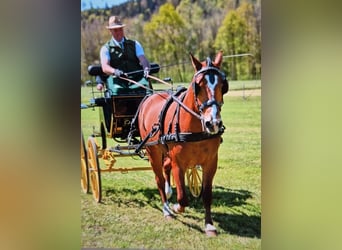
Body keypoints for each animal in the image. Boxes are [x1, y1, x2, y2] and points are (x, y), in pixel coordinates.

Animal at [136, 51, 227, 236]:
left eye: (223, 85)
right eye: (198, 85)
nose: (213, 123)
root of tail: (151, 96)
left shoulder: (211, 163)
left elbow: (207, 195)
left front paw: (209, 225)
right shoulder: (179, 163)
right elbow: (183, 198)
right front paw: (176, 207)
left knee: (165, 168)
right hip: (152, 151)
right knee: (159, 178)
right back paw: (166, 208)